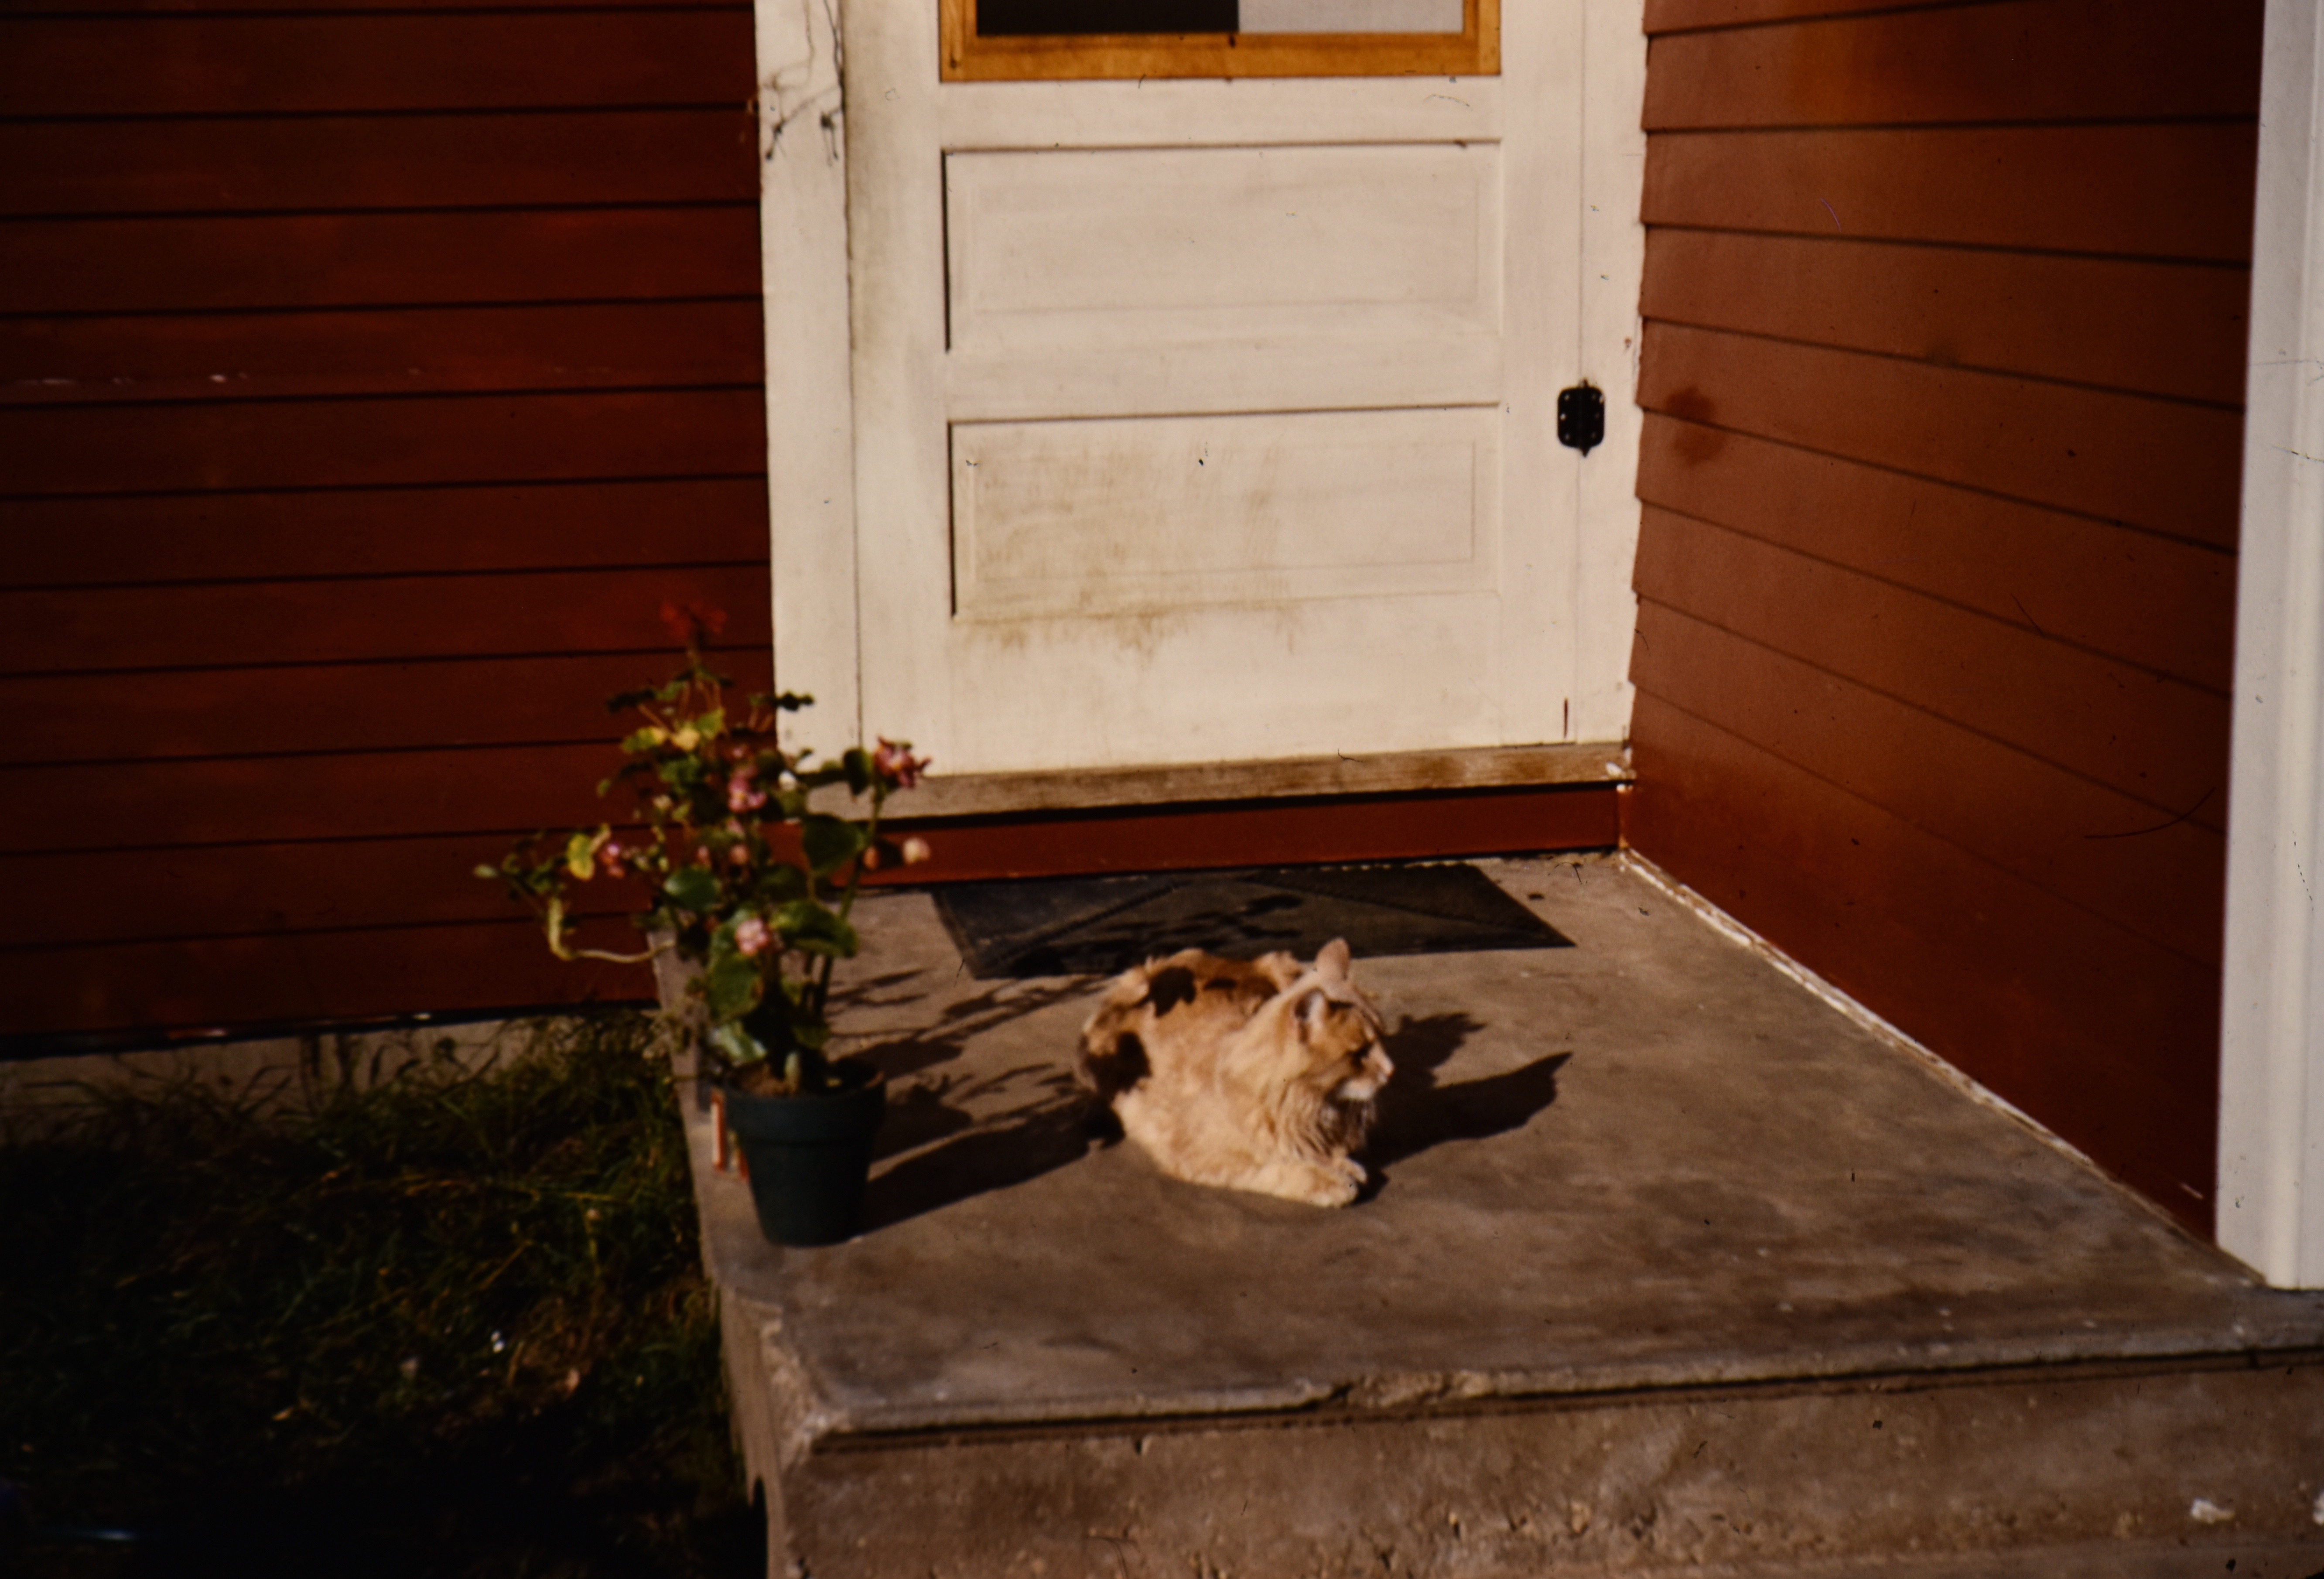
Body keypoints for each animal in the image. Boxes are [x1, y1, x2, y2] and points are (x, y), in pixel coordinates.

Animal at [1073, 939, 1385, 1209]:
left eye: (1381, 1036)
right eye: (1360, 1053)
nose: (1389, 1070)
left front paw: (1339, 1163)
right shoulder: (1200, 1159)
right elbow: (1275, 1169)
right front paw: (1329, 1180)